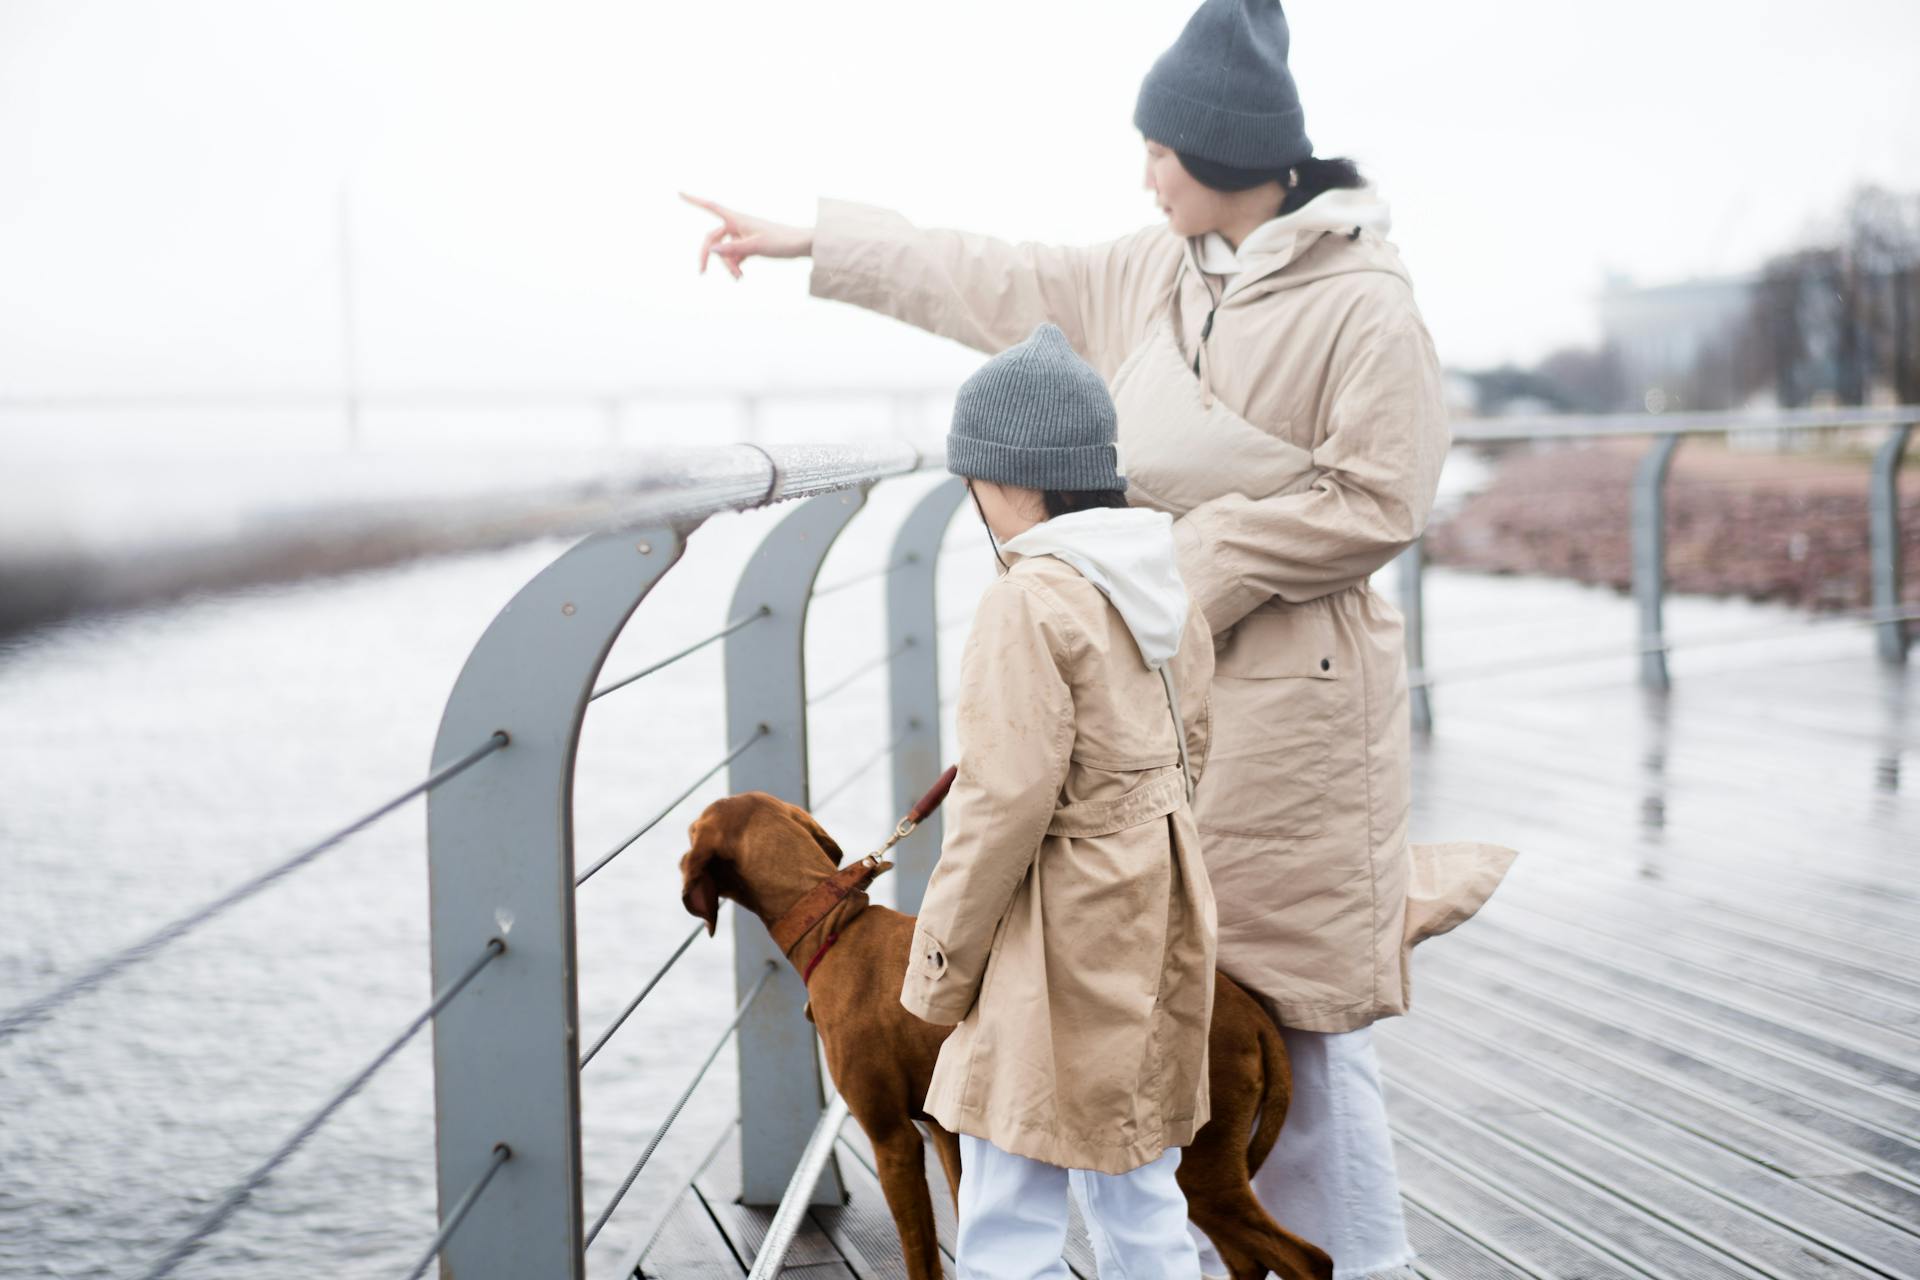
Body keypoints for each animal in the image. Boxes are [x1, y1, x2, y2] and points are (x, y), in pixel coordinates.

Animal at [679, 790, 1336, 1280]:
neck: (835, 926)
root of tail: (1252, 1012)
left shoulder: (893, 1138)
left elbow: (921, 1257)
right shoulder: (945, 1130)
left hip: (1201, 1165)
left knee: (1309, 1259)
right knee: (1248, 1260)